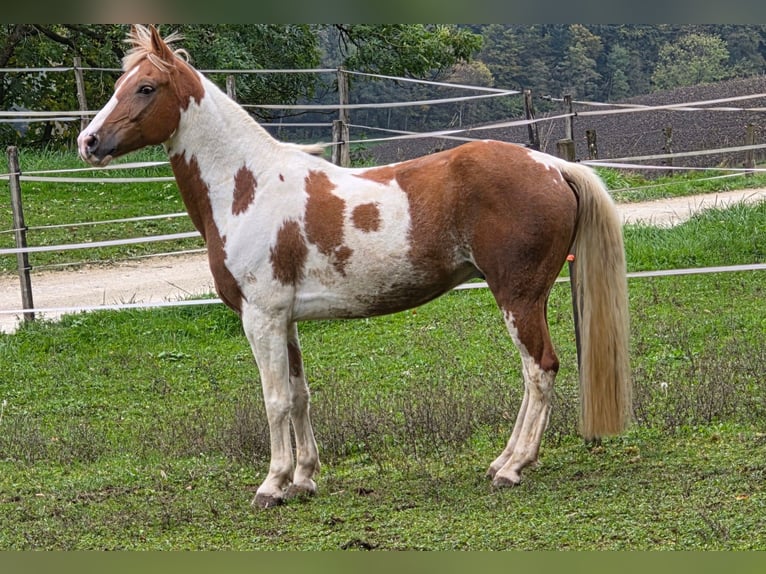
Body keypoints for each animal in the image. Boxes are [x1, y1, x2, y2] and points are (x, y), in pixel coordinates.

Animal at [78, 25, 631, 509]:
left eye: (146, 87)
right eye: (118, 84)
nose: (89, 142)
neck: (248, 187)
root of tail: (554, 166)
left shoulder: (260, 317)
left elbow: (274, 400)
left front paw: (272, 485)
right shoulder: (286, 320)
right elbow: (300, 395)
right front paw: (304, 479)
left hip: (518, 297)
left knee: (539, 370)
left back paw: (513, 467)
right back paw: (501, 462)